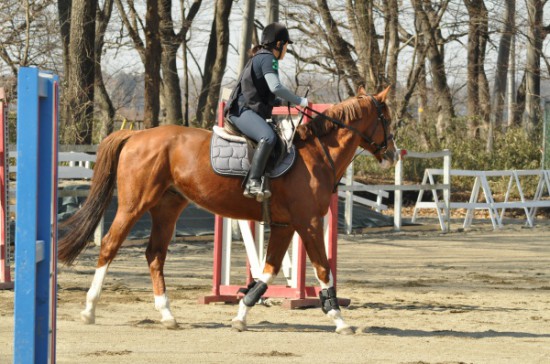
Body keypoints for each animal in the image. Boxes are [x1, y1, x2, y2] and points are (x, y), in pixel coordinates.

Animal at [58, 86, 396, 336]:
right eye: (387, 119)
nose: (393, 152)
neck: (317, 153)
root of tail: (136, 135)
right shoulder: (309, 223)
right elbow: (323, 269)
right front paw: (339, 319)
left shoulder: (286, 226)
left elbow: (268, 271)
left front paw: (242, 313)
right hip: (133, 204)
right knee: (109, 245)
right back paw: (89, 309)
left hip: (167, 208)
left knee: (155, 254)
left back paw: (167, 315)